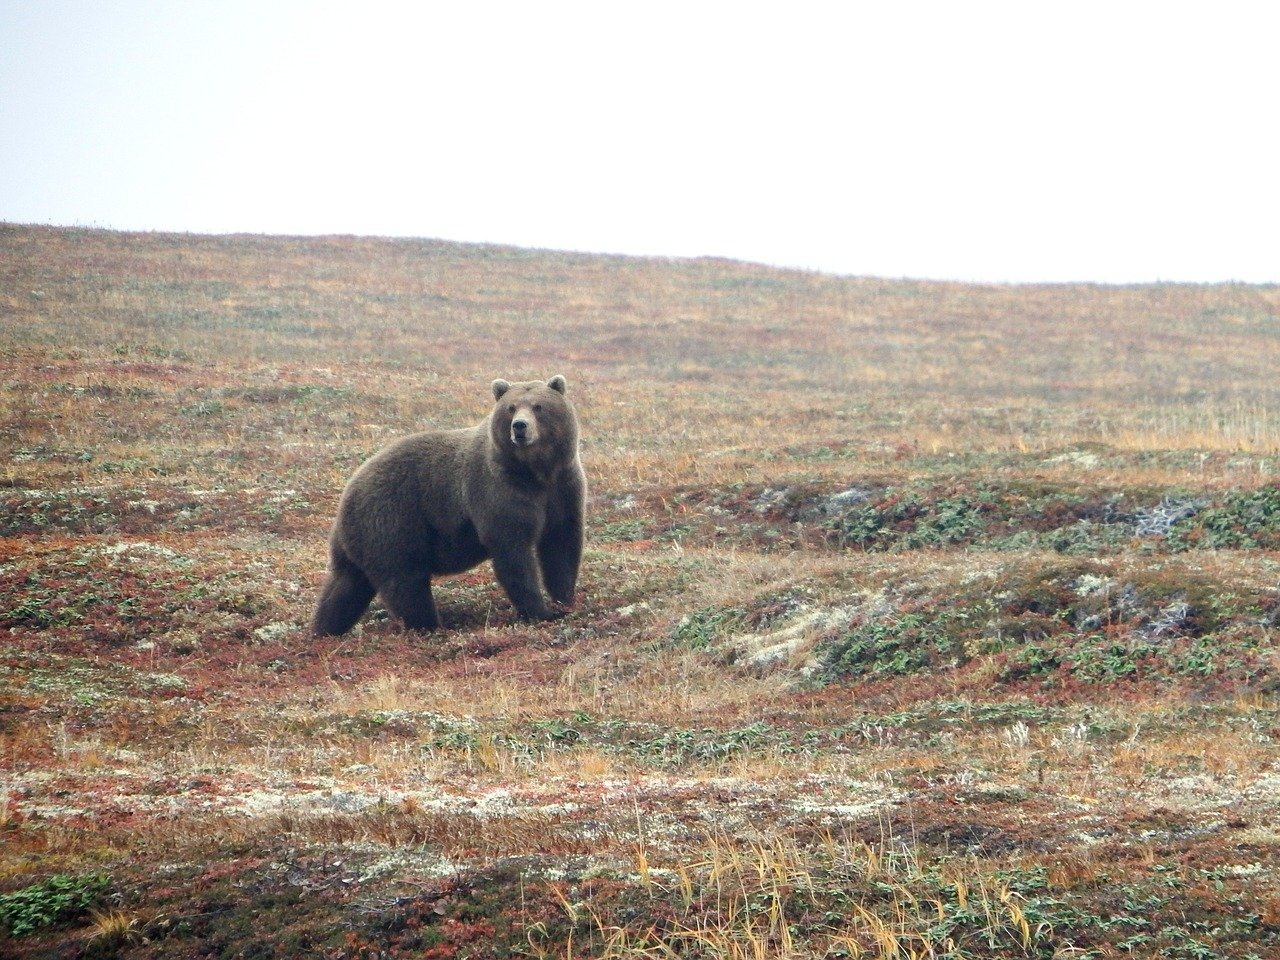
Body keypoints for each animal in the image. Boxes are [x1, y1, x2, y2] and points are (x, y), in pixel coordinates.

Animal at [312, 378, 586, 640]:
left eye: (539, 406)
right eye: (511, 407)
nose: (519, 426)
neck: (535, 472)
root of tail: (347, 492)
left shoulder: (562, 488)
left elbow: (561, 543)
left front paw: (563, 599)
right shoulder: (499, 489)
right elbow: (513, 550)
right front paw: (540, 611)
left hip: (359, 539)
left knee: (345, 587)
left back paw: (324, 629)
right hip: (391, 521)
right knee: (406, 582)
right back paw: (430, 626)